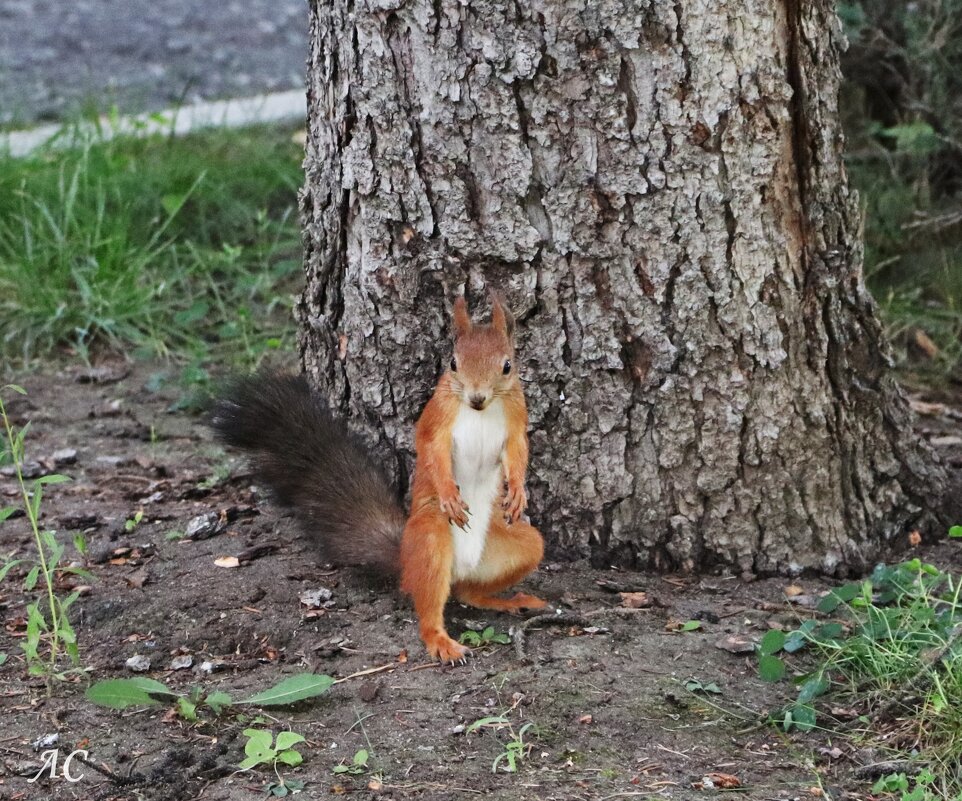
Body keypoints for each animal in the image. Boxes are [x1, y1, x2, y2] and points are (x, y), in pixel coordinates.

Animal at [213, 296, 544, 660]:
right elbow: (431, 450)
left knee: (468, 591)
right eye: (453, 363)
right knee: (431, 604)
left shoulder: (516, 418)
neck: (480, 413)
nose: (477, 398)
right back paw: (440, 641)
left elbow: (518, 452)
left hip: (523, 547)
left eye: (507, 366)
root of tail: (406, 560)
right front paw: (449, 494)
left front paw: (518, 491)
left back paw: (506, 601)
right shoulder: (436, 418)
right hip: (430, 539)